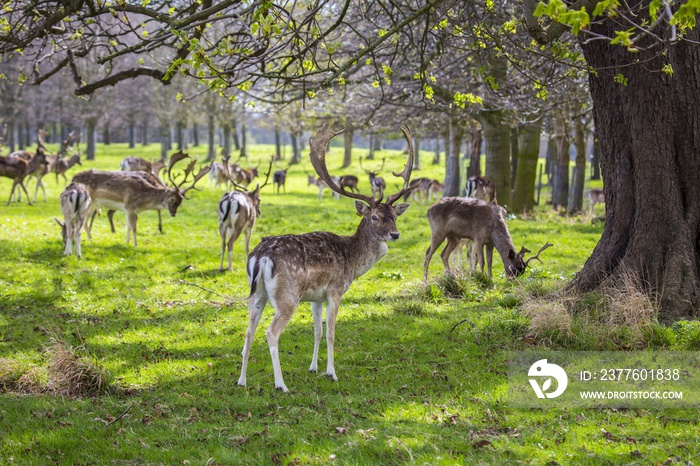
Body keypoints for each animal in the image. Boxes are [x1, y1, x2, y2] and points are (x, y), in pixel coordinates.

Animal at [75, 152, 211, 248]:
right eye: (172, 199)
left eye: (181, 202)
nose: (173, 213)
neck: (143, 201)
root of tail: (73, 177)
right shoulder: (130, 207)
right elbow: (134, 227)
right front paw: (135, 245)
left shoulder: (129, 210)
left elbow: (128, 227)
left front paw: (126, 243)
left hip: (93, 203)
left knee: (85, 222)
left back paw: (91, 240)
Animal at [238, 124, 416, 394]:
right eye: (374, 217)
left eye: (395, 216)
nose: (394, 234)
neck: (352, 260)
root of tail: (260, 257)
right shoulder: (335, 290)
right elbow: (331, 332)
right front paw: (331, 373)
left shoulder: (316, 297)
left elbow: (317, 332)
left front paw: (313, 368)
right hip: (287, 295)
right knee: (270, 332)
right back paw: (281, 385)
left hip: (257, 294)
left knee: (248, 331)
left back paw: (242, 381)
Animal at [422, 197, 552, 280]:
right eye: (514, 268)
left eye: (522, 271)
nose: (512, 281)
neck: (493, 228)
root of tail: (428, 210)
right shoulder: (478, 239)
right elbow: (481, 261)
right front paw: (481, 278)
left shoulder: (490, 243)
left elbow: (490, 262)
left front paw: (490, 279)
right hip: (438, 230)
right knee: (428, 253)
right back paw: (425, 281)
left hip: (453, 237)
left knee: (444, 254)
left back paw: (450, 276)